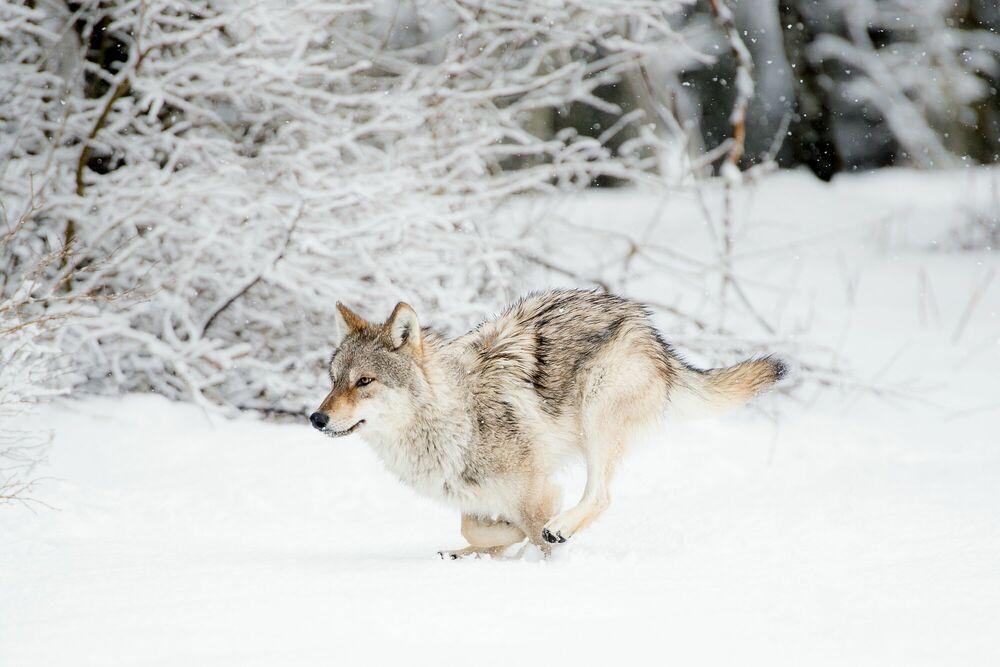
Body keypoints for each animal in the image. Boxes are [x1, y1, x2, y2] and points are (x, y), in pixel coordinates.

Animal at [308, 290, 784, 560]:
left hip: (597, 414)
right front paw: (495, 544)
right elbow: (474, 526)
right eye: (333, 380)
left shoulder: (534, 487)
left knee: (601, 495)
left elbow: (535, 526)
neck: (453, 416)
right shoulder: (474, 494)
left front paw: (542, 558)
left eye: (364, 381)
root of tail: (648, 328)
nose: (316, 418)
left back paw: (561, 527)